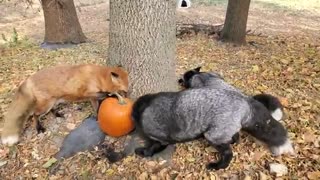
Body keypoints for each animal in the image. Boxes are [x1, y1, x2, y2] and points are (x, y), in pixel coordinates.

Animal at [1, 64, 129, 146]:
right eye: (125, 88)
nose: (128, 94)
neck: (98, 77)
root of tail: (28, 79)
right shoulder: (88, 94)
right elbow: (103, 96)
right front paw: (112, 96)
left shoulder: (92, 97)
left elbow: (98, 106)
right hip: (46, 105)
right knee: (34, 114)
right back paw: (39, 128)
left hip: (55, 101)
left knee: (51, 110)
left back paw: (58, 114)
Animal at [131, 67, 296, 170]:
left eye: (183, 78)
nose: (179, 80)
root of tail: (245, 101)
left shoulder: (160, 140)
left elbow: (151, 149)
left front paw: (142, 152)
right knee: (235, 138)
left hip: (212, 135)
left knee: (229, 153)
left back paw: (218, 167)